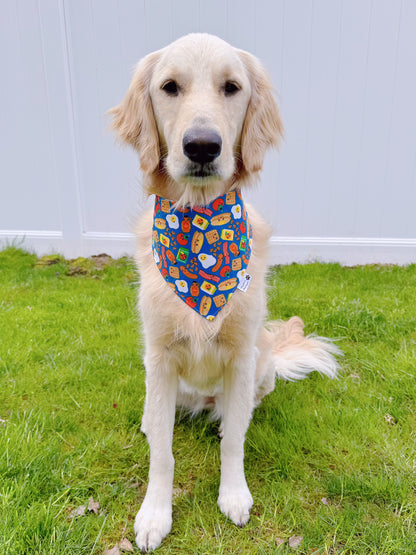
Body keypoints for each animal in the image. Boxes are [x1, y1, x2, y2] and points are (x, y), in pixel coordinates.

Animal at [109, 34, 338, 552]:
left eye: (231, 87)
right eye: (169, 87)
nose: (201, 146)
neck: (200, 230)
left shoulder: (239, 356)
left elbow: (234, 440)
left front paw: (234, 495)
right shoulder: (159, 355)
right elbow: (162, 453)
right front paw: (155, 514)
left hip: (262, 362)